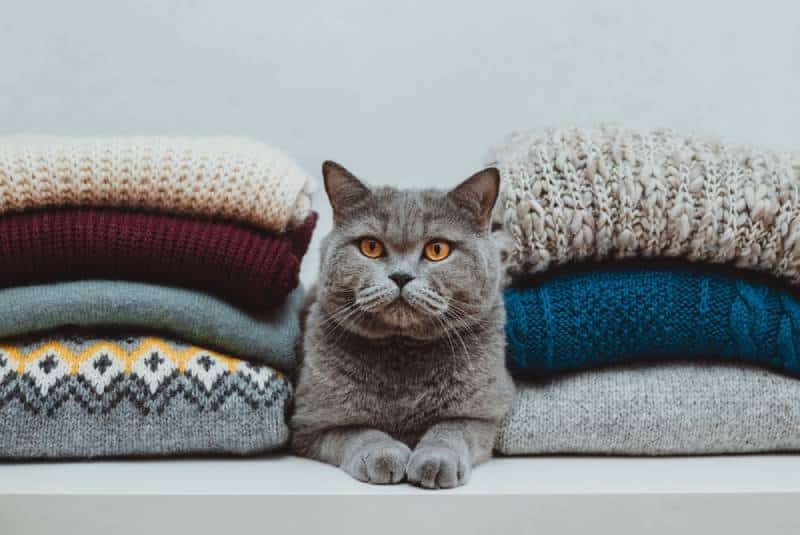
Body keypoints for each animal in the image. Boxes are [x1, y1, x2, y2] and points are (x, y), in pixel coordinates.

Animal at [292, 160, 512, 490]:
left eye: (437, 249)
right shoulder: (309, 422)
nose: (400, 276)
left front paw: (436, 460)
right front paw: (383, 455)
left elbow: (451, 428)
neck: (403, 353)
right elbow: (358, 431)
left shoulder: (486, 411)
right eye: (370, 247)